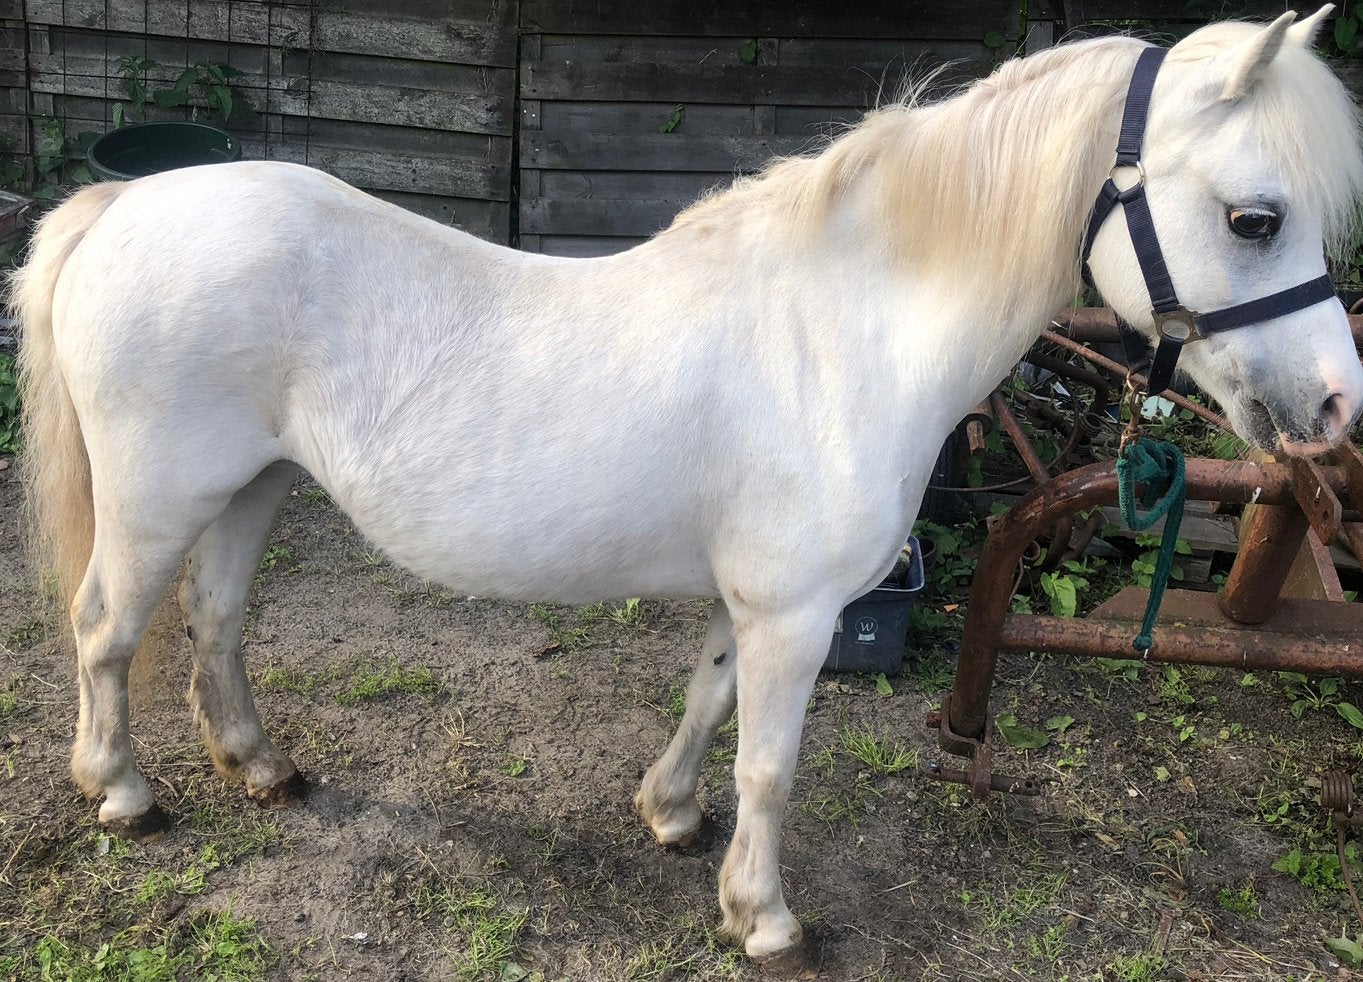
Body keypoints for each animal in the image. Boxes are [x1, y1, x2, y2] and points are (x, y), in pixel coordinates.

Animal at [10, 6, 1361, 971]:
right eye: (1254, 218)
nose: (1336, 409)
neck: (844, 334)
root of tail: (124, 202)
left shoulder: (752, 606)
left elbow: (708, 705)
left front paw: (668, 817)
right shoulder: (796, 616)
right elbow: (769, 766)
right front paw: (762, 918)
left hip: (255, 487)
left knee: (218, 624)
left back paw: (262, 767)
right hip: (158, 502)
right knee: (105, 630)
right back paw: (121, 793)